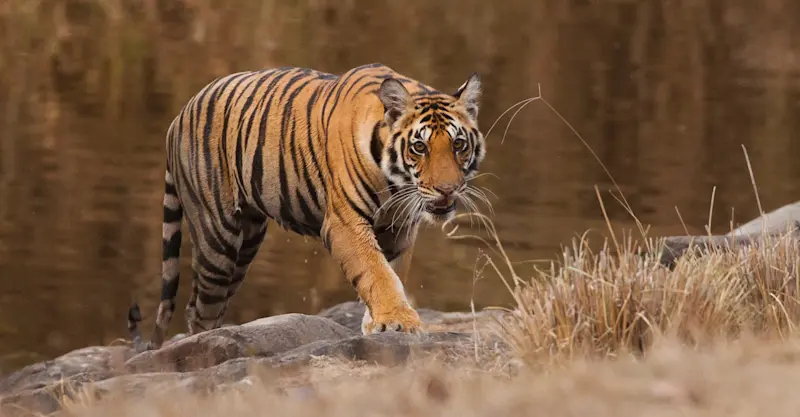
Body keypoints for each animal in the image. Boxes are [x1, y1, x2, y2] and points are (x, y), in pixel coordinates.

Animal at [127, 63, 487, 352]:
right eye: (419, 147)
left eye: (458, 144)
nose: (447, 190)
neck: (396, 183)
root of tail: (180, 114)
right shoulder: (345, 224)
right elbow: (377, 272)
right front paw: (398, 320)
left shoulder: (398, 228)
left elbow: (391, 271)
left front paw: (378, 322)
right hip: (218, 237)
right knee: (199, 308)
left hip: (247, 241)